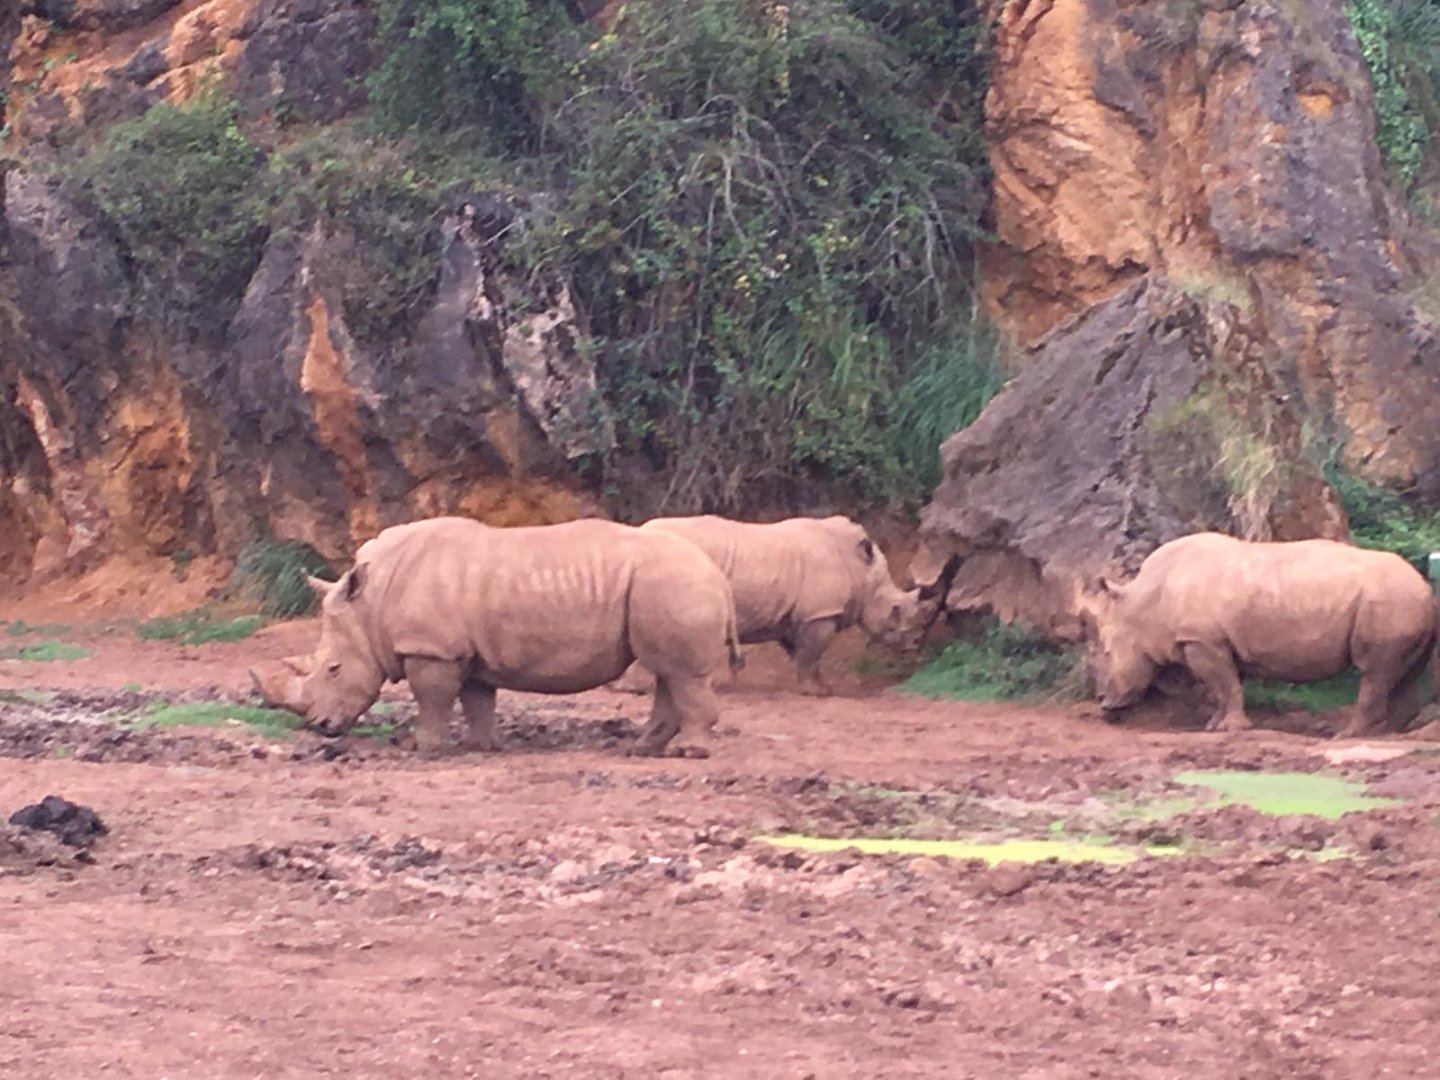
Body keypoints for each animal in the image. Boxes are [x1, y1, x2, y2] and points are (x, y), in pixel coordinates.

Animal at [250, 516, 741, 757]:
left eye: (333, 669)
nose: (319, 727)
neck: (371, 606)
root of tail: (718, 576)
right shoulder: (463, 652)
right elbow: (476, 699)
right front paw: (479, 746)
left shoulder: (432, 649)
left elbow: (432, 700)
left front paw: (419, 747)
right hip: (668, 584)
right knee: (669, 673)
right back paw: (643, 750)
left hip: (672, 582)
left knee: (680, 674)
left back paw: (688, 753)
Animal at [613, 514, 935, 696]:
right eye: (895, 610)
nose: (913, 645)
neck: (861, 572)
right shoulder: (820, 613)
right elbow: (812, 653)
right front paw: (816, 693)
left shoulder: (799, 616)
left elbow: (804, 654)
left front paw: (817, 687)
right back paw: (635, 690)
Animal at [1082, 532, 1438, 737]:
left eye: (1107, 654)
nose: (1102, 701)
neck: (1142, 603)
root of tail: (1425, 586)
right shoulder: (1212, 640)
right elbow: (1224, 686)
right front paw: (1214, 726)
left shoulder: (1203, 640)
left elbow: (1224, 683)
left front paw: (1231, 729)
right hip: (1402, 600)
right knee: (1402, 671)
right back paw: (1394, 732)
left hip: (1391, 599)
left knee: (1374, 671)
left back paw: (1348, 735)